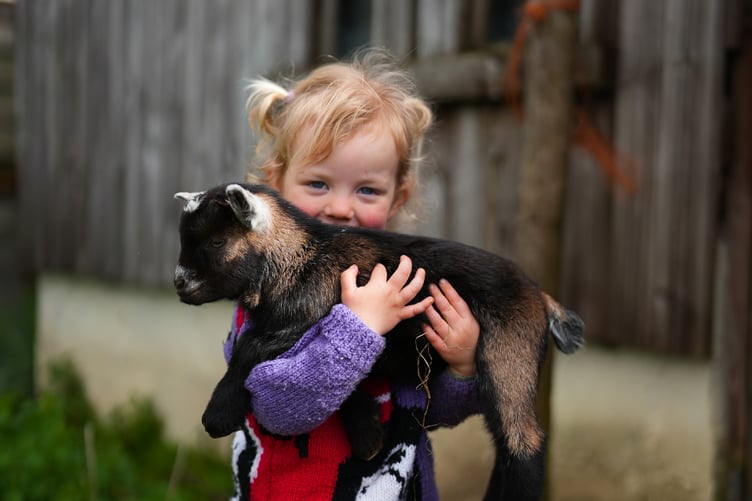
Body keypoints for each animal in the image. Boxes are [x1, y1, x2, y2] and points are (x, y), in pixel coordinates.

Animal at [173, 182, 584, 500]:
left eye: (217, 241)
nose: (179, 282)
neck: (302, 257)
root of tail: (540, 296)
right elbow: (336, 378)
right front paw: (368, 435)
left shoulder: (300, 317)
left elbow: (250, 347)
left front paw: (217, 415)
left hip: (510, 348)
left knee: (523, 441)